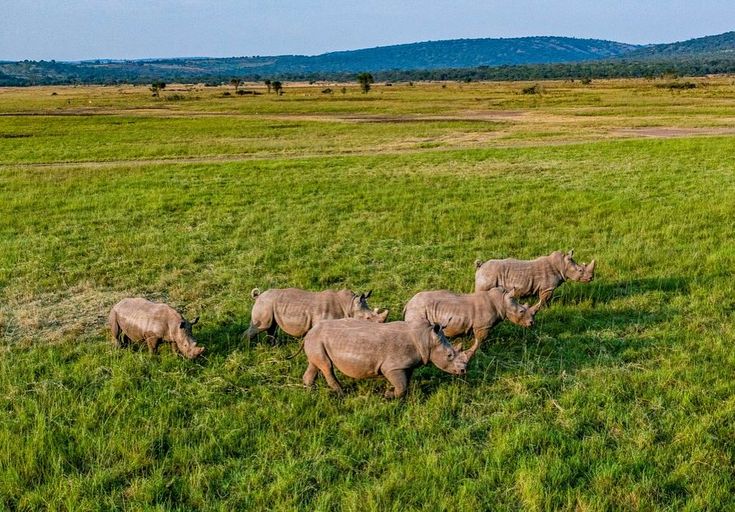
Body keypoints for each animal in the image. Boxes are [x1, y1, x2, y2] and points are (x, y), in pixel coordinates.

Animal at [244, 287, 389, 341]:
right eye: (368, 318)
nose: (380, 328)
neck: (349, 305)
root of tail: (258, 296)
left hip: (269, 304)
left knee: (271, 327)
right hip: (265, 304)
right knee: (262, 326)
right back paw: (247, 346)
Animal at [302, 318, 476, 398]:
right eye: (449, 355)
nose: (463, 371)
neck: (426, 338)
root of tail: (310, 330)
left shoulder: (407, 364)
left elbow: (405, 382)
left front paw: (396, 393)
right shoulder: (392, 366)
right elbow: (402, 386)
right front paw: (388, 395)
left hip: (316, 340)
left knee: (316, 364)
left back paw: (309, 390)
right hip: (318, 339)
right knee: (327, 366)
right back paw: (342, 393)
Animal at [403, 286, 537, 352]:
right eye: (521, 311)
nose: (531, 323)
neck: (502, 301)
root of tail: (408, 304)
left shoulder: (477, 325)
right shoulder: (482, 326)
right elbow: (480, 340)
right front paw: (481, 353)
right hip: (418, 310)